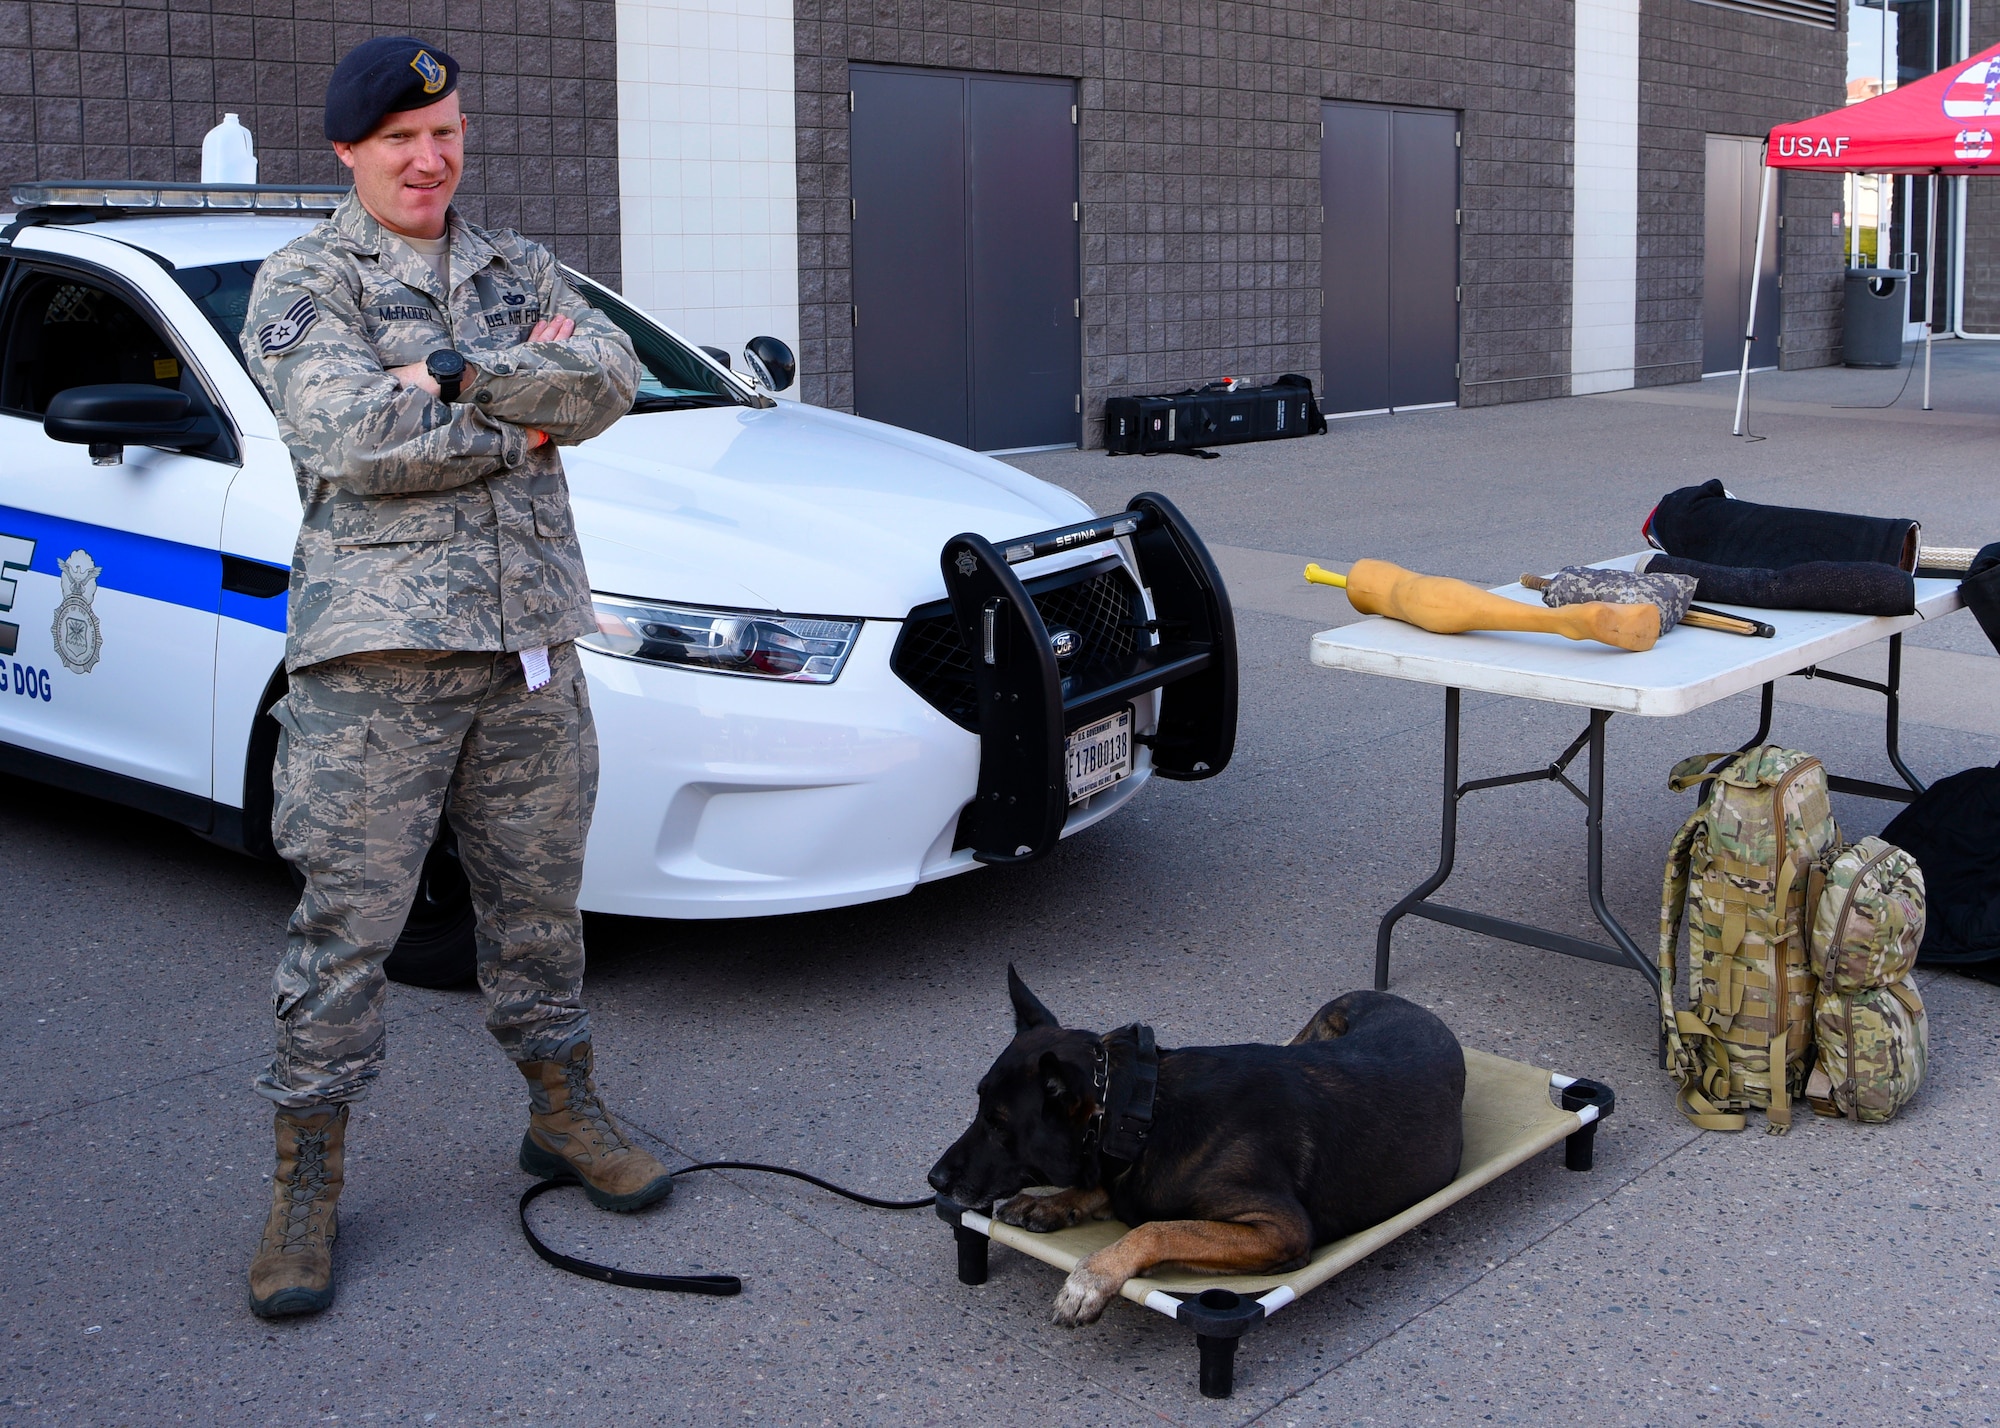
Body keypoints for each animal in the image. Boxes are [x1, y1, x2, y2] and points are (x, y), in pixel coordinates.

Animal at [928, 968, 1464, 1320]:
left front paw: (1092, 1274)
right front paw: (1060, 1202)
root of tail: (1414, 1005)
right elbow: (1111, 1195)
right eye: (979, 1107)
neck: (1143, 1117)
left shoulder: (1281, 1229)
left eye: (999, 1124)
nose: (934, 1179)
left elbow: (1157, 1229)